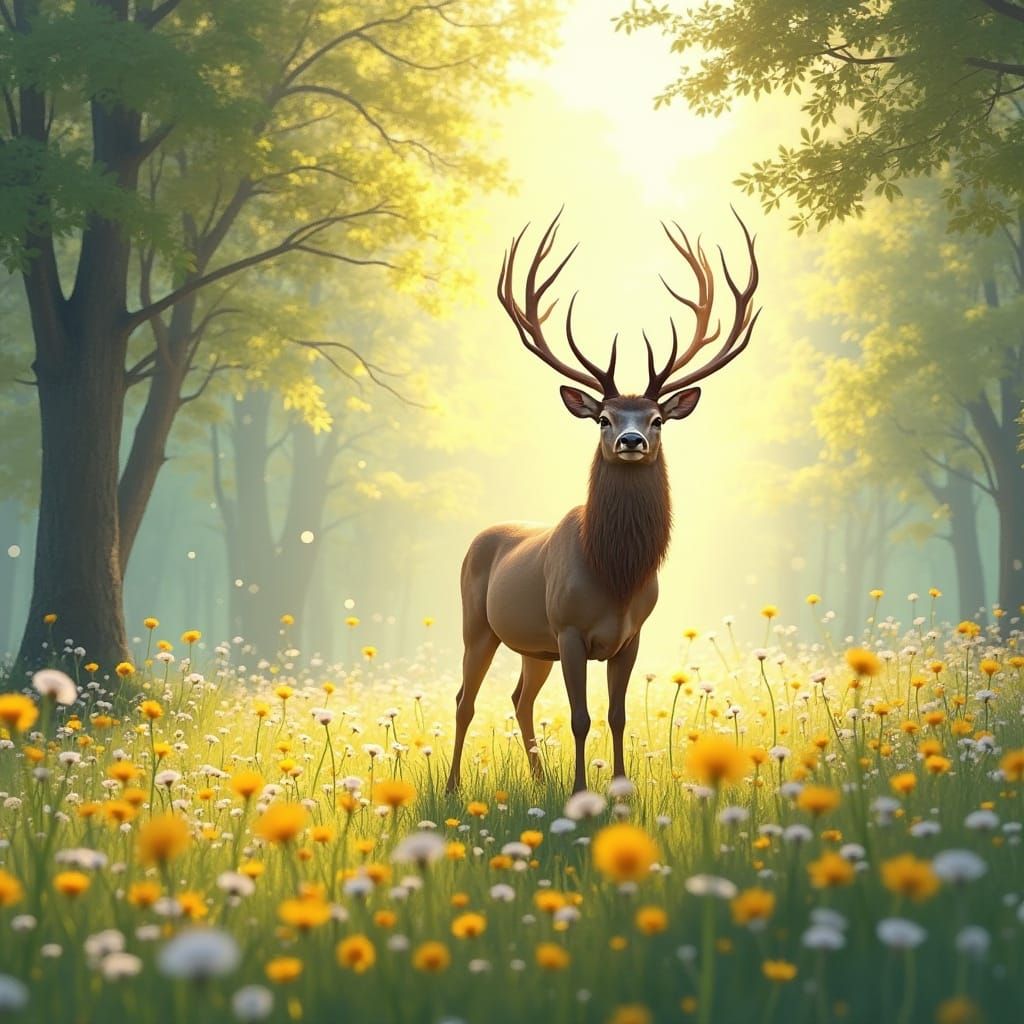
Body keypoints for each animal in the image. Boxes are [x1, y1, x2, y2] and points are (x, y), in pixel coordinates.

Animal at [445, 210, 761, 794]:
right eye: (603, 418)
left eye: (656, 419)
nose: (631, 440)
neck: (614, 572)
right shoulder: (568, 629)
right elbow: (579, 716)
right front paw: (579, 792)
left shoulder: (630, 636)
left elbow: (616, 715)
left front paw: (618, 790)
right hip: (478, 623)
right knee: (465, 699)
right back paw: (455, 787)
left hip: (534, 645)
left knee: (519, 698)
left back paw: (538, 780)